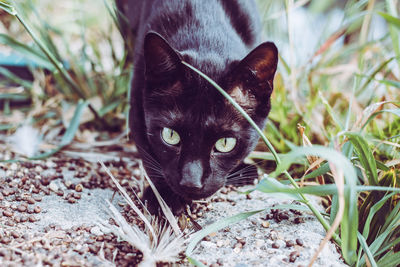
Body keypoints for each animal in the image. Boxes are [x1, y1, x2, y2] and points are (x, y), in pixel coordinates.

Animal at [119, 0, 278, 215]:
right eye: (170, 135)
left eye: (225, 143)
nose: (190, 183)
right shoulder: (137, 103)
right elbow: (149, 154)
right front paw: (163, 200)